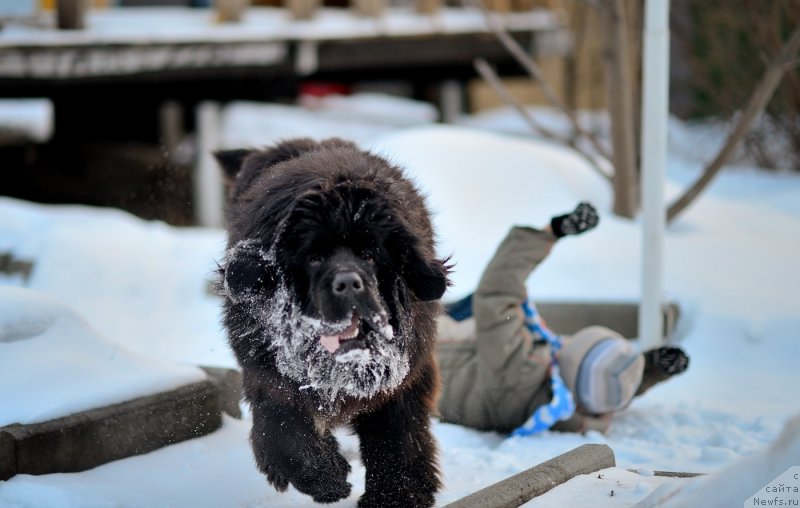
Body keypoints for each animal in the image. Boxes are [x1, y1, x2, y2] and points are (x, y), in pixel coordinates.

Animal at [212, 139, 450, 508]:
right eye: (313, 257)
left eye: (369, 254)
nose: (349, 283)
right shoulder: (267, 374)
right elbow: (282, 428)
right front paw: (326, 477)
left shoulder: (405, 378)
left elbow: (397, 436)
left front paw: (395, 495)